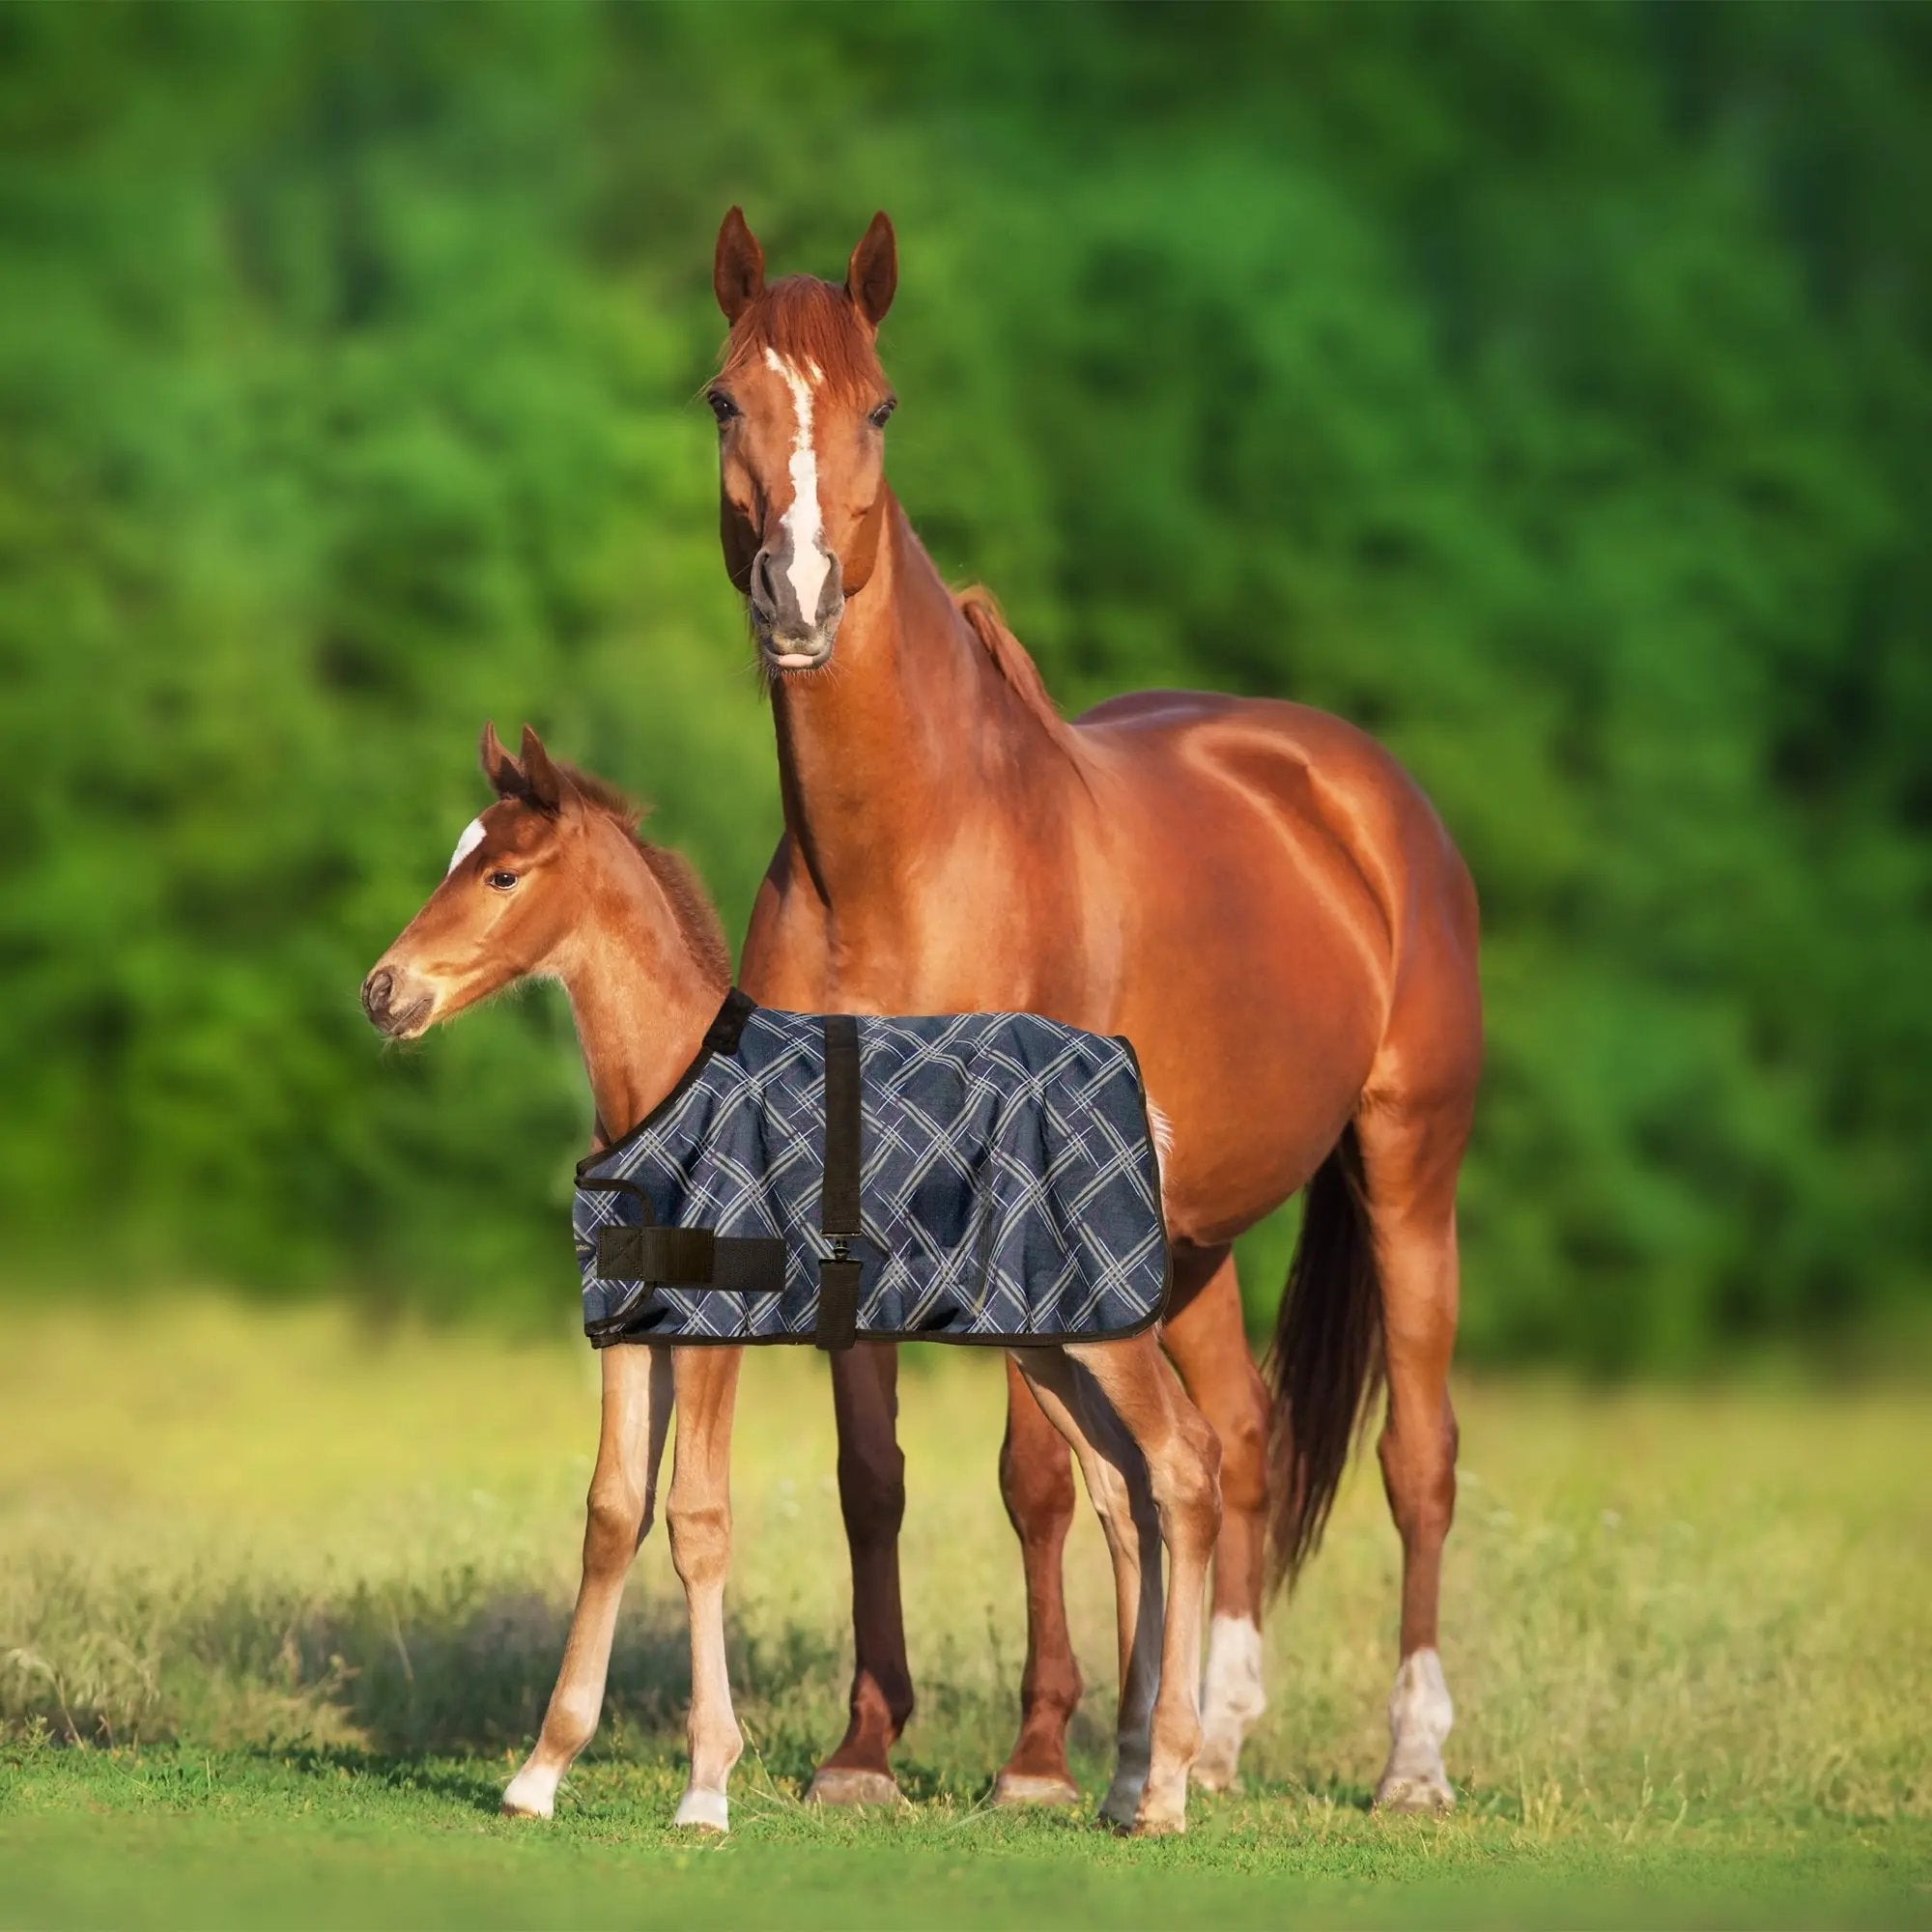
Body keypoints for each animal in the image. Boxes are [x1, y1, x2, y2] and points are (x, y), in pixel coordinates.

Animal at [360, 723, 1224, 1836]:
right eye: (455, 858)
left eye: (502, 873)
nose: (384, 992)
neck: (667, 1083)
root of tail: (1136, 1094)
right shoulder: (630, 1334)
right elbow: (611, 1516)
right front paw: (538, 1773)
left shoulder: (713, 1334)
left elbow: (696, 1522)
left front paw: (706, 1786)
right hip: (1047, 1339)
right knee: (1125, 1492)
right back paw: (1121, 1782)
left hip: (1104, 1333)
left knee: (1184, 1467)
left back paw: (1166, 1785)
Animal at [707, 208, 1483, 1811]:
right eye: (722, 400)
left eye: (881, 408)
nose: (799, 602)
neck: (905, 864)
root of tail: (1360, 793)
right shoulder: (848, 1207)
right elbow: (873, 1479)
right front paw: (866, 1752)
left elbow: (1037, 1478)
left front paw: (1039, 1757)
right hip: (1189, 1237)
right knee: (1239, 1441)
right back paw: (1218, 1735)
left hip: (1408, 1167)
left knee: (1420, 1460)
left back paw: (1411, 1764)